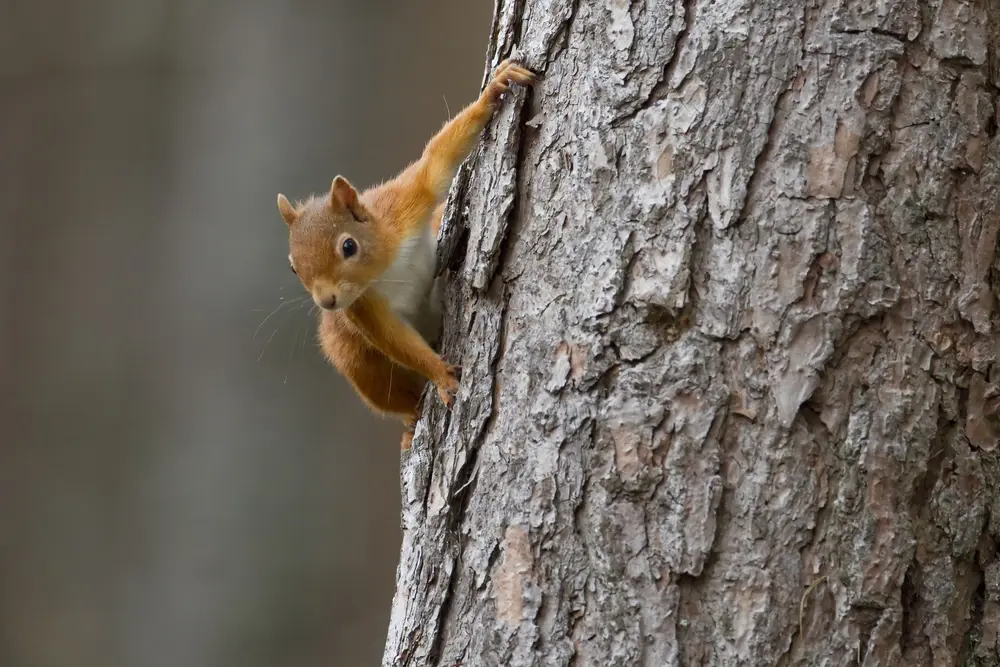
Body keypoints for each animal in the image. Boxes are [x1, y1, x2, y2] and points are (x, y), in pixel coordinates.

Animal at [275, 59, 537, 450]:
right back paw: (412, 422)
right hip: (357, 360)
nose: (327, 302)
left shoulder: (406, 202)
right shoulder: (363, 308)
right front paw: (442, 375)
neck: (386, 265)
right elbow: (394, 339)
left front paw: (495, 89)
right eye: (293, 268)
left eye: (348, 246)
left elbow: (437, 162)